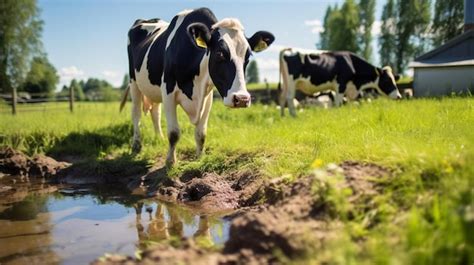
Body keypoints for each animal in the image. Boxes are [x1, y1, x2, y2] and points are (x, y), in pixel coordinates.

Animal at [122, 8, 274, 164]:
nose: (242, 99)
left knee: (155, 113)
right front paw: (170, 161)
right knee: (136, 113)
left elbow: (201, 133)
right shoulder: (168, 91)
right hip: (134, 82)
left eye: (248, 57)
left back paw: (159, 138)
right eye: (220, 54)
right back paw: (136, 145)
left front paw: (200, 158)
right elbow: (174, 133)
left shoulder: (207, 96)